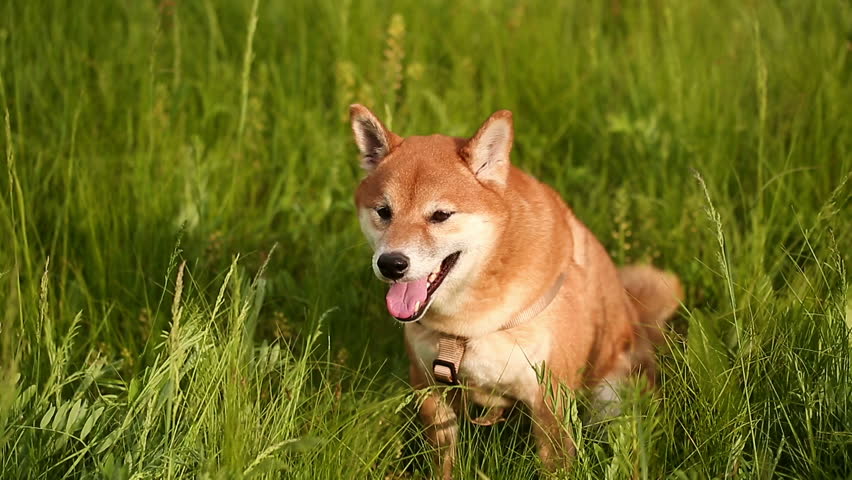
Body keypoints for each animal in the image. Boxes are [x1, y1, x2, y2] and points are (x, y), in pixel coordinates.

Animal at [350, 104, 684, 476]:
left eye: (440, 215)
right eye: (384, 212)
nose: (391, 264)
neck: (466, 326)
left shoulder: (550, 400)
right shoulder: (429, 387)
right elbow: (444, 463)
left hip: (611, 392)